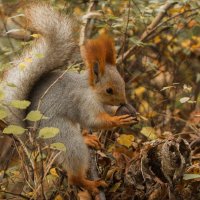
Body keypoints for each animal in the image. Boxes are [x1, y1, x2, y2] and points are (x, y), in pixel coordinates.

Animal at [0, 2, 136, 194]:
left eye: (123, 83)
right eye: (109, 90)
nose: (123, 102)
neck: (92, 92)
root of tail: (32, 135)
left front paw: (122, 111)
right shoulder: (84, 102)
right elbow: (94, 120)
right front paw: (118, 120)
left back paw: (87, 139)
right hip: (61, 134)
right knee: (74, 173)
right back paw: (89, 183)